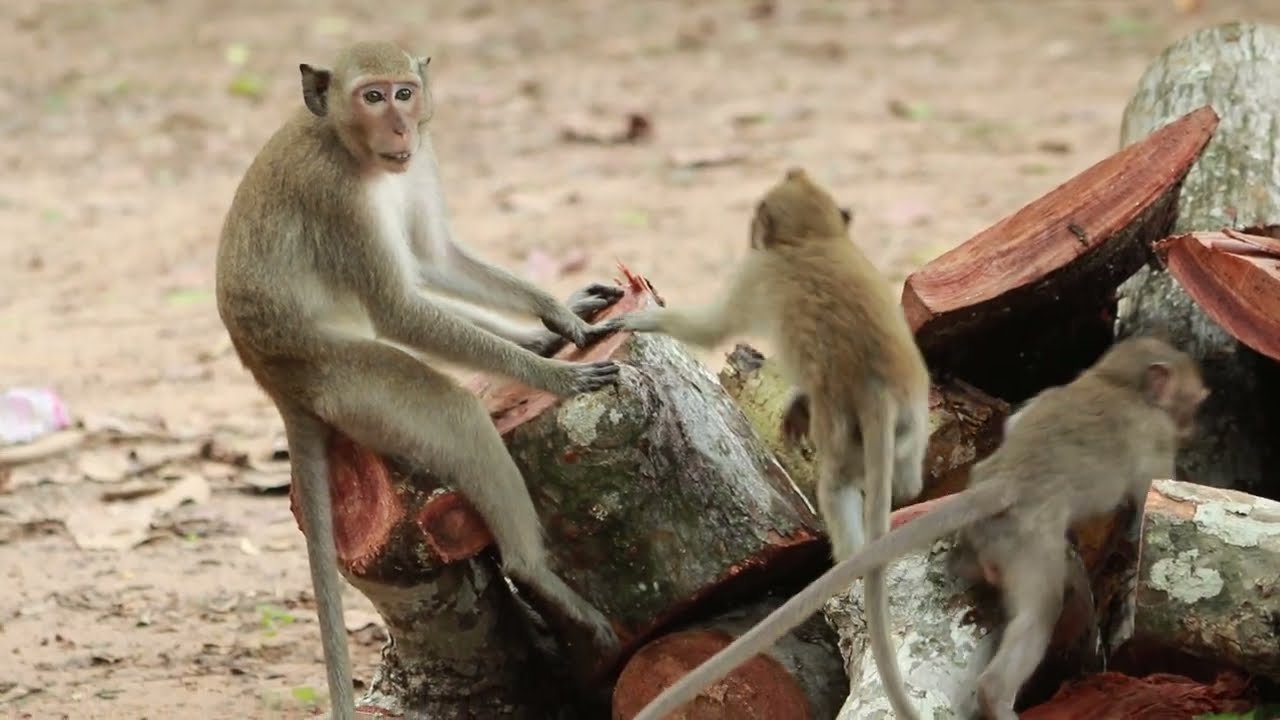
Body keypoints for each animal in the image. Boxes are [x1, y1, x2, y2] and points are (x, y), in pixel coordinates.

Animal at [214, 41, 623, 720]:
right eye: (372, 96)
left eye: (404, 92)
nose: (400, 128)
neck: (351, 150)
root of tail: (276, 382)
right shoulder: (338, 199)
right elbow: (399, 309)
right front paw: (551, 373)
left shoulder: (420, 163)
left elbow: (436, 259)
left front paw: (555, 319)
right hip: (350, 383)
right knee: (457, 415)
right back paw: (532, 570)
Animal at [610, 168, 931, 719]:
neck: (813, 238)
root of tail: (878, 392)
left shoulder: (754, 272)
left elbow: (711, 327)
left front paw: (645, 320)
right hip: (914, 413)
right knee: (906, 465)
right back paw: (907, 492)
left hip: (847, 442)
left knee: (835, 489)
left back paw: (851, 559)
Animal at [629, 335, 1209, 720]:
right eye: (1194, 401)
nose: (1190, 424)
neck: (1118, 382)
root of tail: (999, 484)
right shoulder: (1154, 440)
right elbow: (1149, 494)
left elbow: (1020, 419)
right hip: (1029, 545)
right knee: (1039, 610)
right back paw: (999, 698)